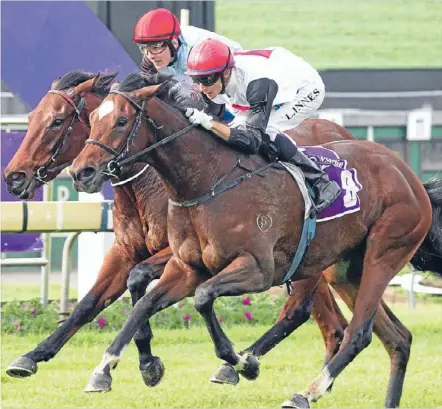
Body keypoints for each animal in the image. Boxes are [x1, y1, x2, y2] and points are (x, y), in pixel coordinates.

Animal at [2, 69, 348, 388]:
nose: (14, 177)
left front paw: (146, 361)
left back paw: (238, 365)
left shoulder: (174, 253)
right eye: (32, 118)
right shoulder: (125, 251)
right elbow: (89, 303)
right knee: (330, 321)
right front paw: (32, 356)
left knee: (298, 310)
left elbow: (138, 279)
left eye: (57, 121)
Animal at [70, 74, 442, 408]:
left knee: (357, 333)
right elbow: (144, 304)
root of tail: (409, 175)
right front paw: (110, 369)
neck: (207, 182)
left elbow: (203, 298)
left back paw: (305, 394)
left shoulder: (258, 270)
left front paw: (242, 363)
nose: (80, 172)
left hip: (385, 251)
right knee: (397, 338)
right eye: (92, 119)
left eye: (121, 121)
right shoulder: (186, 267)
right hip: (347, 269)